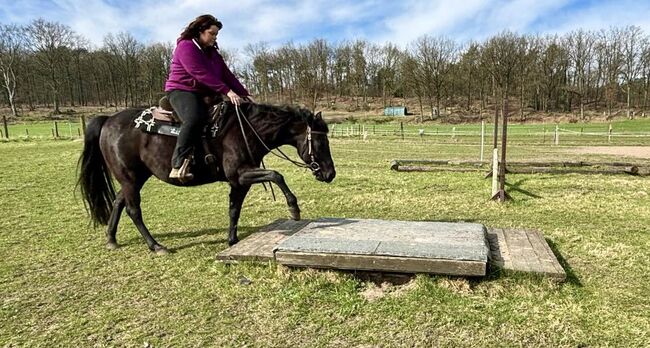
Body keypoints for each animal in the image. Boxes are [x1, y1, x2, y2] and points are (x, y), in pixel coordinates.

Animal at [77, 102, 334, 254]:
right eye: (321, 141)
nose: (330, 173)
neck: (245, 131)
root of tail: (108, 120)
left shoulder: (239, 181)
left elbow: (234, 209)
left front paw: (232, 241)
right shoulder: (240, 174)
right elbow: (276, 175)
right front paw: (294, 209)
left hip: (135, 177)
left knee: (119, 201)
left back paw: (111, 239)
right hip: (130, 177)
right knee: (133, 210)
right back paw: (156, 246)